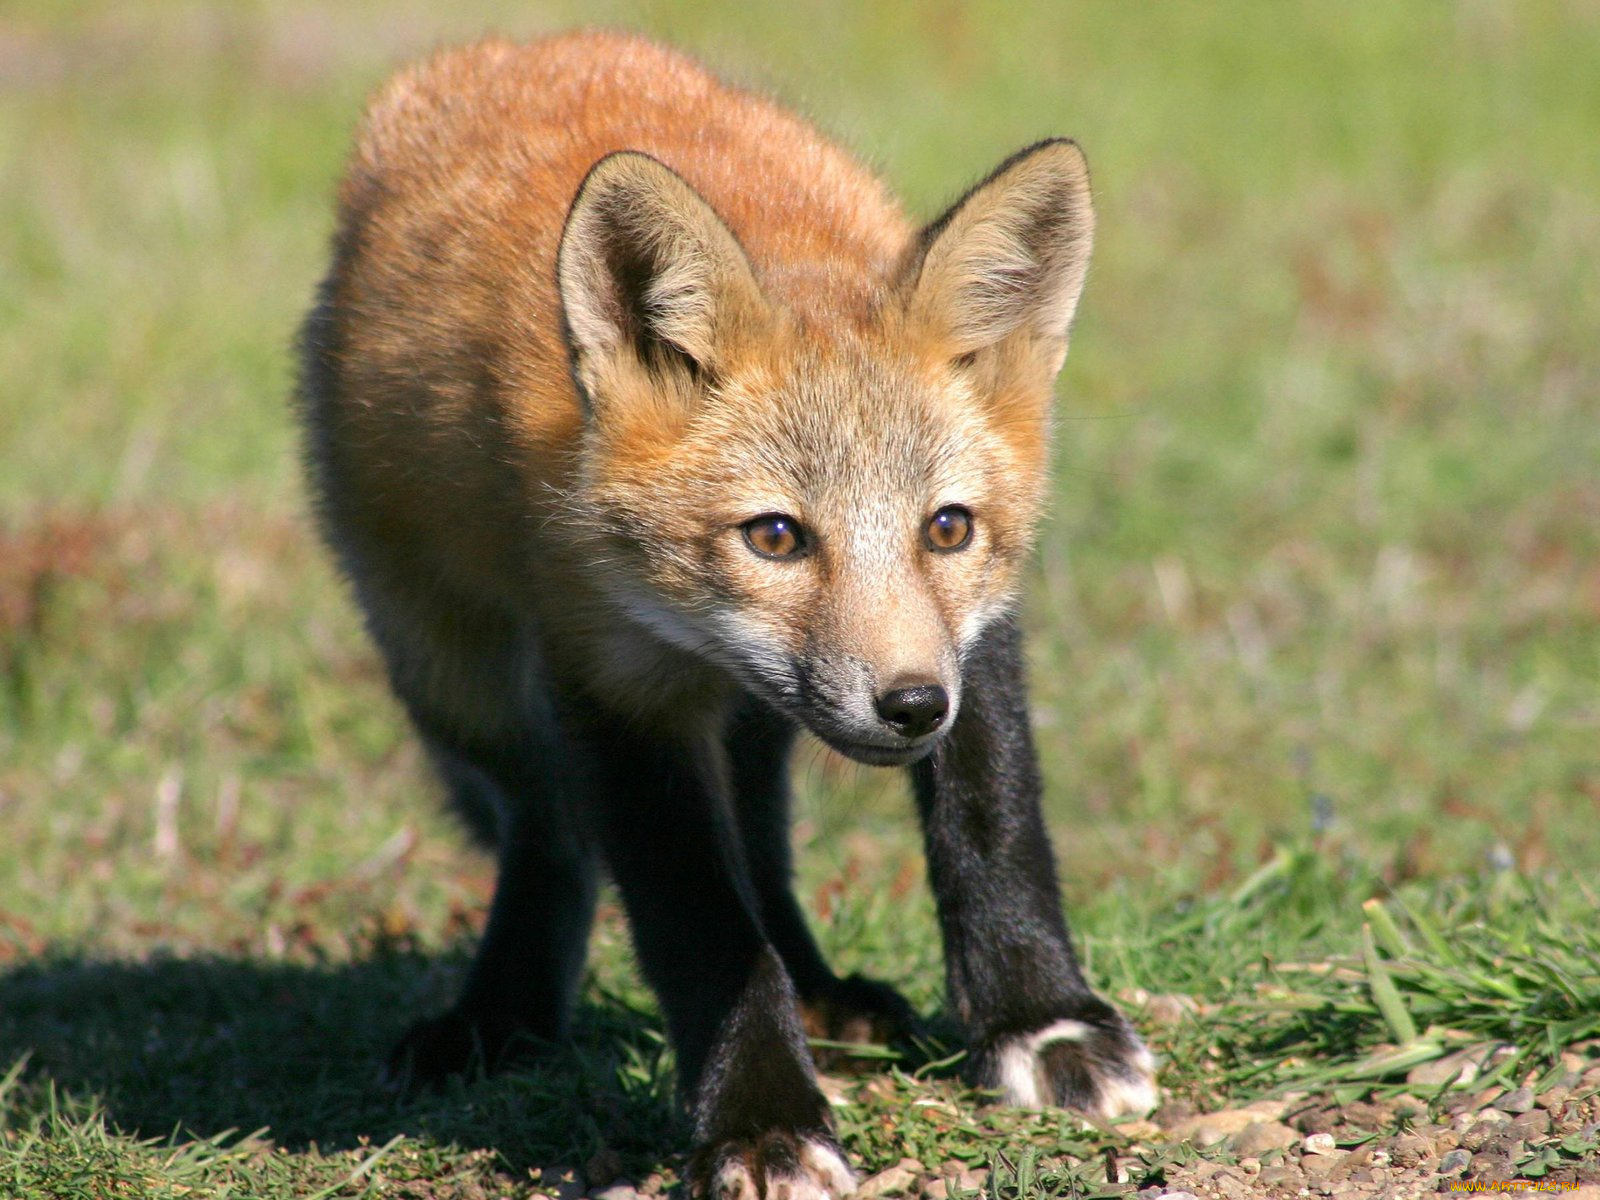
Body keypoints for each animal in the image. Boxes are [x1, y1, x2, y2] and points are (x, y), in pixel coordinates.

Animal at [297, 29, 1156, 1199]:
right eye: (775, 537)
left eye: (947, 528)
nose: (909, 708)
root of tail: (513, 46)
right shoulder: (609, 680)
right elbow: (703, 927)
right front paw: (761, 1121)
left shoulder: (974, 639)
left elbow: (993, 823)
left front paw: (1041, 1021)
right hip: (453, 674)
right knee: (549, 835)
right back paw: (501, 1015)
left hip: (751, 711)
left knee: (758, 837)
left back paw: (819, 992)